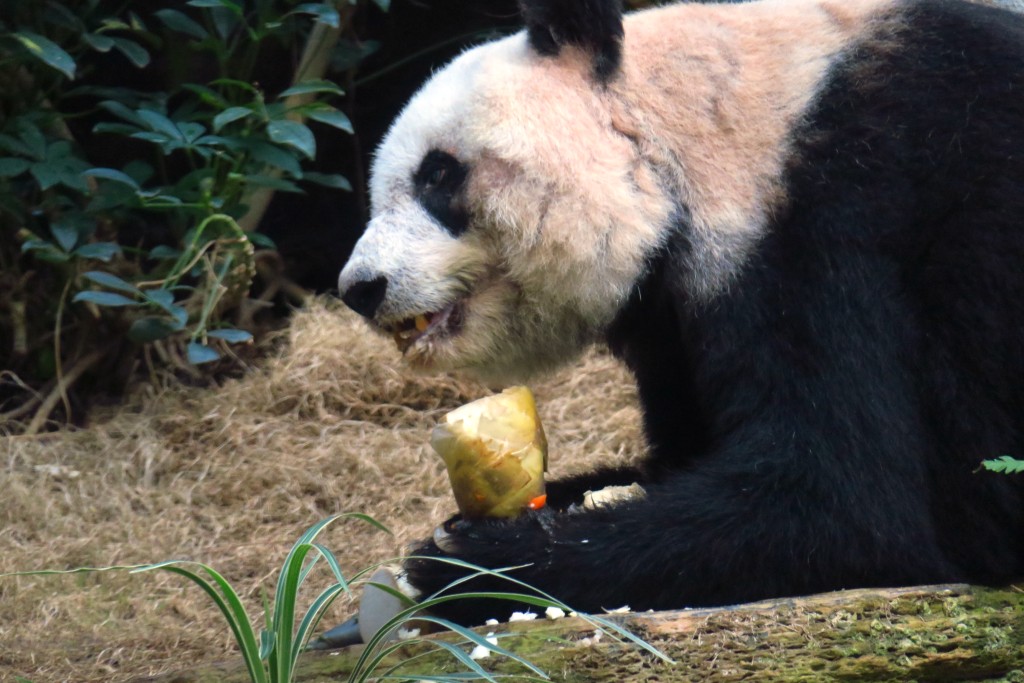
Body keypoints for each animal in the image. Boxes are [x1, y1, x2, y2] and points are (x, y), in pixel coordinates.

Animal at [335, 0, 1024, 626]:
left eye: (438, 173)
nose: (361, 288)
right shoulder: (673, 318)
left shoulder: (826, 216)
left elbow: (841, 503)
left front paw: (469, 565)